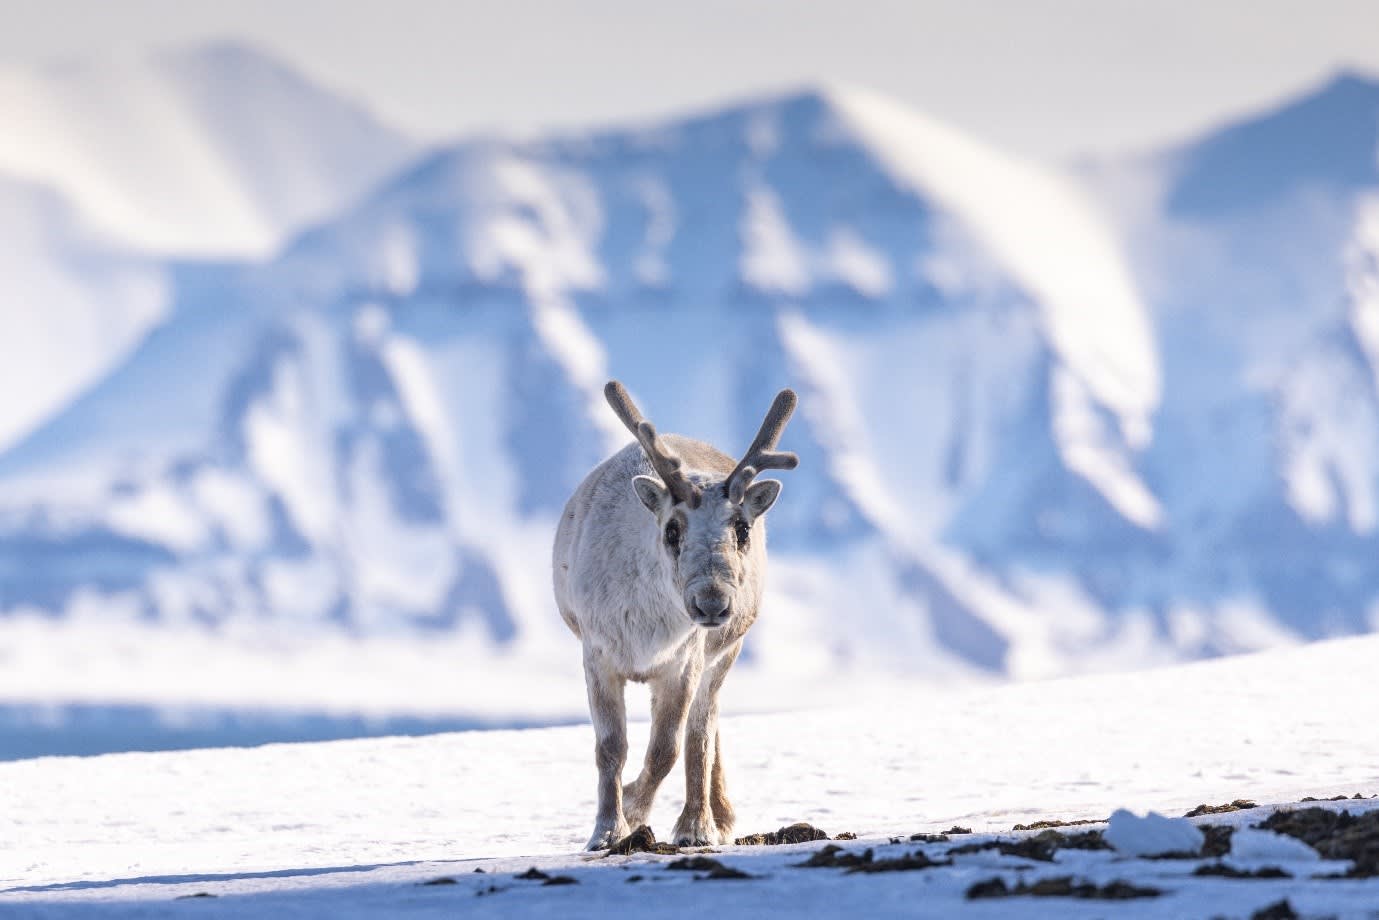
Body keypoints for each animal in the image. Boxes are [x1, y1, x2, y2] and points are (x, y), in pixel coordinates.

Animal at [552, 380, 798, 849]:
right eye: (672, 529)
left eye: (742, 528)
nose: (713, 602)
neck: (647, 628)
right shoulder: (597, 655)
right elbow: (610, 748)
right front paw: (607, 830)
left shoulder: (683, 661)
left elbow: (668, 749)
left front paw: (638, 809)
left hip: (724, 652)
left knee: (702, 731)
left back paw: (704, 823)